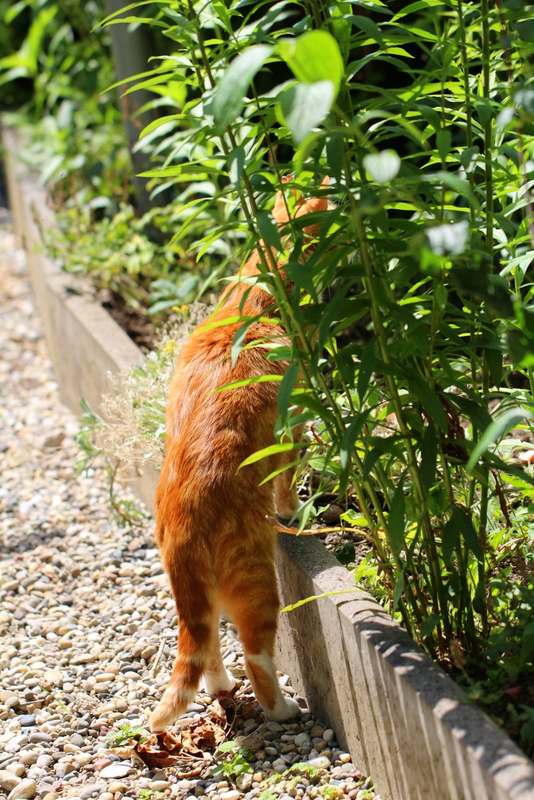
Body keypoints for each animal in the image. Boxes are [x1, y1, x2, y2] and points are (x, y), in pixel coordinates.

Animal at [150, 181, 326, 732]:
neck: (256, 300)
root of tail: (179, 524)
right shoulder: (294, 425)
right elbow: (289, 481)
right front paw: (296, 510)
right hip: (257, 582)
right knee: (255, 655)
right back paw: (283, 710)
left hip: (202, 600)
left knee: (206, 647)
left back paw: (221, 688)